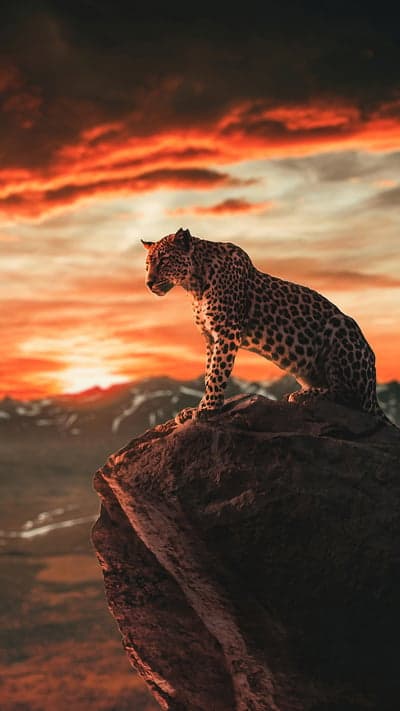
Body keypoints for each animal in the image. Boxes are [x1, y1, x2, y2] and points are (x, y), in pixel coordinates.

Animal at [142, 227, 390, 425]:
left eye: (164, 260)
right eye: (147, 265)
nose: (148, 283)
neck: (194, 285)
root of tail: (373, 391)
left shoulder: (227, 331)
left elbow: (217, 373)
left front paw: (208, 408)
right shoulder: (210, 337)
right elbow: (209, 371)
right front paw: (198, 407)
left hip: (341, 326)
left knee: (349, 396)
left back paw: (306, 395)